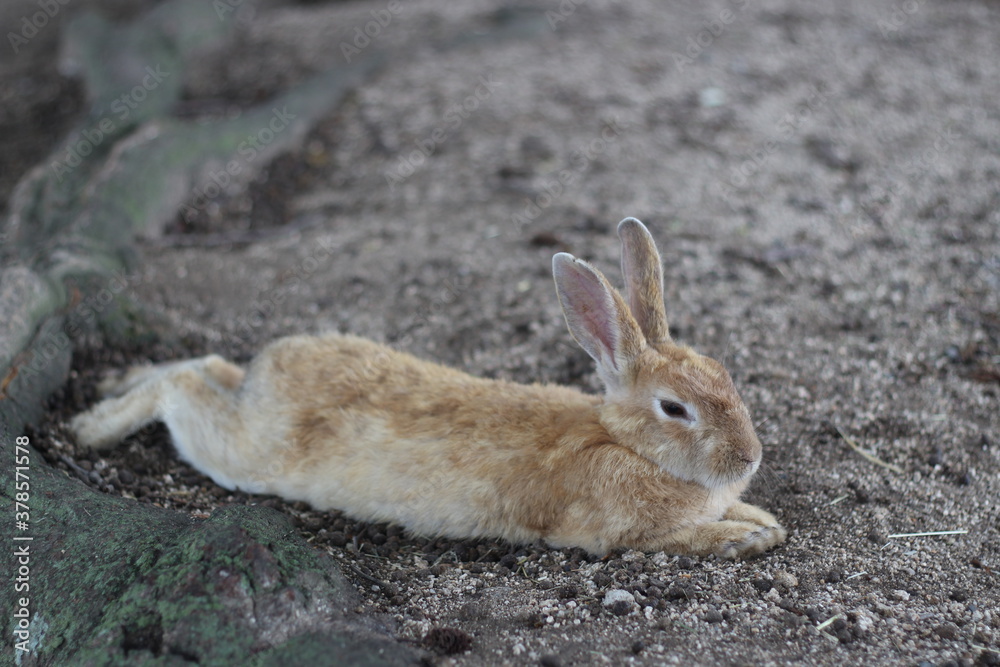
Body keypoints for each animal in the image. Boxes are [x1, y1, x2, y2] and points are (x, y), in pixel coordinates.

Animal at [69, 218, 785, 558]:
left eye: (723, 373)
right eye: (675, 409)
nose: (749, 459)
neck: (625, 441)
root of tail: (265, 374)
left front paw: (761, 522)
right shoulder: (617, 532)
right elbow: (678, 537)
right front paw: (746, 537)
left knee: (211, 365)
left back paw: (117, 379)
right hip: (239, 454)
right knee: (181, 390)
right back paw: (91, 426)